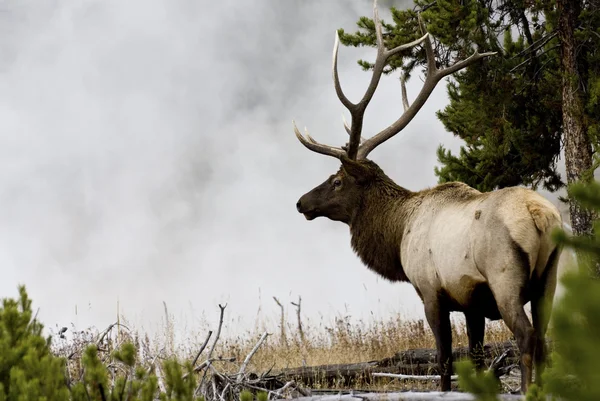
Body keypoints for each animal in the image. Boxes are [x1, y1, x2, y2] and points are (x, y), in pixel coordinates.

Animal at [290, 0, 564, 394]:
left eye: (338, 180)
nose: (301, 202)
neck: (398, 232)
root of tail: (540, 215)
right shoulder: (471, 302)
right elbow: (476, 357)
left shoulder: (431, 290)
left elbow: (444, 359)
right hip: (549, 276)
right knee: (543, 338)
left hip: (505, 275)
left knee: (526, 336)